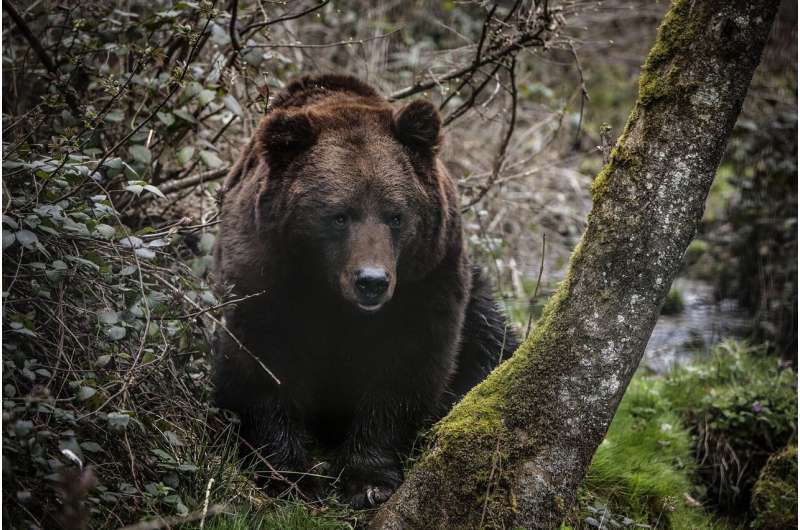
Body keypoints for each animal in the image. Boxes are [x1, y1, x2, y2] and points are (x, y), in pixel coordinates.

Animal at [212, 74, 518, 508]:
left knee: (493, 344)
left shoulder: (426, 279)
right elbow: (262, 363)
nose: (371, 281)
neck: (330, 293)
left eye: (396, 215)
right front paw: (291, 476)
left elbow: (406, 369)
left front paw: (369, 480)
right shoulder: (265, 271)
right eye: (339, 215)